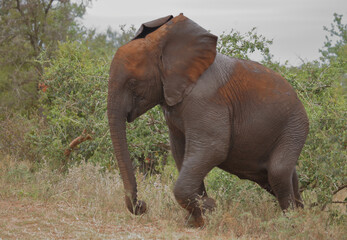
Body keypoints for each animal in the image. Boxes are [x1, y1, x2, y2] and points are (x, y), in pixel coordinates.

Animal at [109, 13, 310, 227]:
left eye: (132, 83)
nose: (142, 205)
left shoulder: (206, 100)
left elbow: (213, 148)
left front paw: (209, 207)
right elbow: (181, 152)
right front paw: (196, 220)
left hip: (295, 126)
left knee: (277, 172)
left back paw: (291, 222)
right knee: (279, 176)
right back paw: (302, 216)